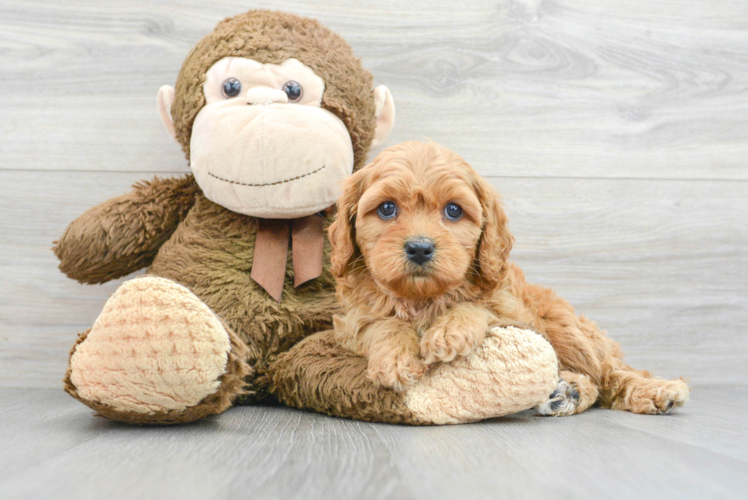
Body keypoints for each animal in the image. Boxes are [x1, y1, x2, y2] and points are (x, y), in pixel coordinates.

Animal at [330, 140, 692, 414]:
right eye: (387, 208)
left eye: (453, 210)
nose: (419, 248)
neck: (423, 298)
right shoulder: (351, 321)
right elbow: (381, 324)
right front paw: (396, 358)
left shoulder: (515, 312)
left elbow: (480, 307)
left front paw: (449, 331)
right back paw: (568, 391)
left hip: (566, 330)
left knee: (609, 373)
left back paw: (649, 390)